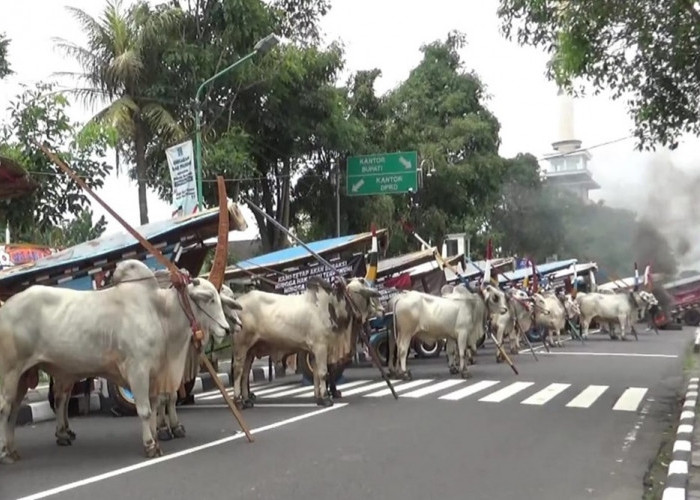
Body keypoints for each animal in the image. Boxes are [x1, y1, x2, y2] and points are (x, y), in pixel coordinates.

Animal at [0, 260, 232, 462]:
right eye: (210, 299)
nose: (227, 329)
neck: (159, 312)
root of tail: (6, 307)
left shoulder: (155, 375)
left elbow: (155, 406)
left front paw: (158, 436)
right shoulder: (138, 371)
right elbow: (145, 411)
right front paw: (150, 445)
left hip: (24, 376)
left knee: (20, 408)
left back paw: (15, 448)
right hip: (10, 372)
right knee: (5, 408)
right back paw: (5, 452)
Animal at [231, 276, 382, 408]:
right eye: (362, 285)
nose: (382, 309)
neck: (330, 306)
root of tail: (237, 301)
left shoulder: (314, 351)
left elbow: (316, 375)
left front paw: (319, 398)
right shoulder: (321, 347)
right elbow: (323, 373)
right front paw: (326, 399)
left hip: (250, 351)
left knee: (245, 374)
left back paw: (246, 400)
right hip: (241, 346)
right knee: (238, 371)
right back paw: (238, 401)